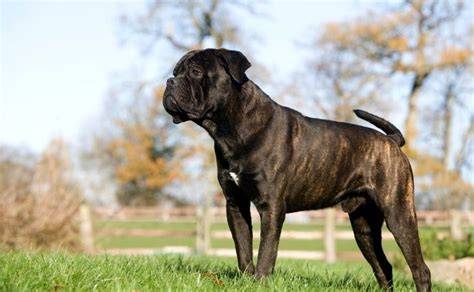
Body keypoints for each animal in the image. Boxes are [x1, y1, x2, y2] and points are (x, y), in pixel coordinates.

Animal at [165, 49, 432, 290]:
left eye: (196, 72)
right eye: (176, 71)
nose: (169, 81)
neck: (231, 128)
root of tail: (392, 141)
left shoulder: (271, 207)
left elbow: (266, 252)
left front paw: (260, 282)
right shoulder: (235, 204)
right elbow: (243, 249)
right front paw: (246, 280)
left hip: (398, 214)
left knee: (420, 269)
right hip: (363, 225)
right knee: (383, 266)